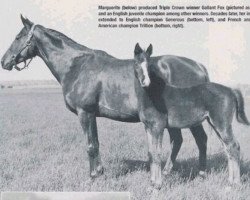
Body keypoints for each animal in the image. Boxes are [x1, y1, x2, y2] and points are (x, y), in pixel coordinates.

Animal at [134, 43, 250, 188]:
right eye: (137, 63)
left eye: (149, 65)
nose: (145, 81)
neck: (153, 94)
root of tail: (231, 90)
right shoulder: (148, 128)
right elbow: (151, 153)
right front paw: (152, 182)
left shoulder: (157, 127)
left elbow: (157, 153)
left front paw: (157, 185)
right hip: (216, 124)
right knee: (228, 148)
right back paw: (229, 181)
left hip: (222, 124)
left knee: (234, 146)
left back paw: (235, 183)